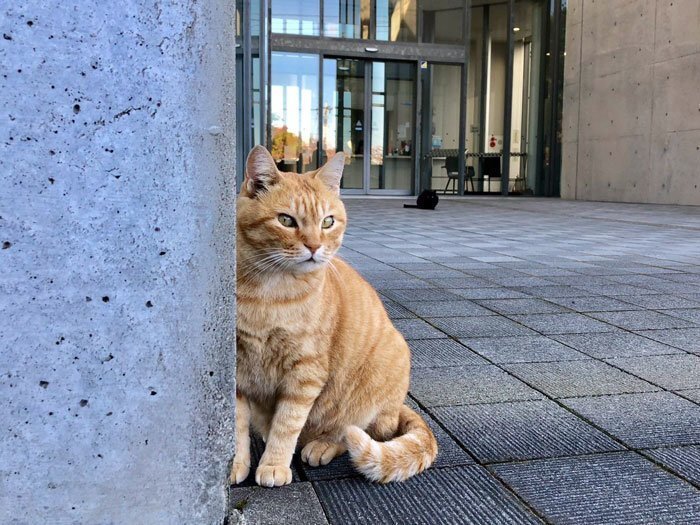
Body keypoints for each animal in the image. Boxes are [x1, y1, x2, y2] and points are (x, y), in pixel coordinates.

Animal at [232, 144, 434, 488]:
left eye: (327, 222)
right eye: (286, 220)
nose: (314, 246)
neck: (268, 291)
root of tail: (397, 408)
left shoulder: (305, 372)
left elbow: (287, 424)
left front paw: (273, 464)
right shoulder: (233, 365)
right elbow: (236, 425)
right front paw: (236, 463)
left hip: (376, 382)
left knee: (355, 431)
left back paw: (322, 445)